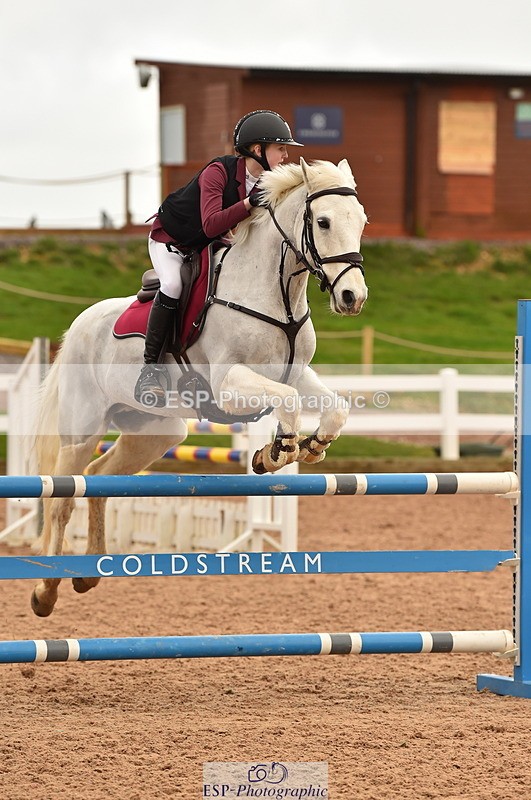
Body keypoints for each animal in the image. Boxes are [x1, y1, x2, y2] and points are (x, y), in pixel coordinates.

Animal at [30, 157, 368, 616]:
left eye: (362, 221)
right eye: (323, 221)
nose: (353, 297)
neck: (273, 292)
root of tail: (80, 324)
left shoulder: (296, 371)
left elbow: (333, 407)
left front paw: (310, 446)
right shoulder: (228, 384)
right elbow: (288, 402)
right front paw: (278, 451)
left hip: (156, 432)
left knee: (100, 480)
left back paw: (88, 574)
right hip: (80, 431)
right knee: (62, 499)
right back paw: (45, 592)